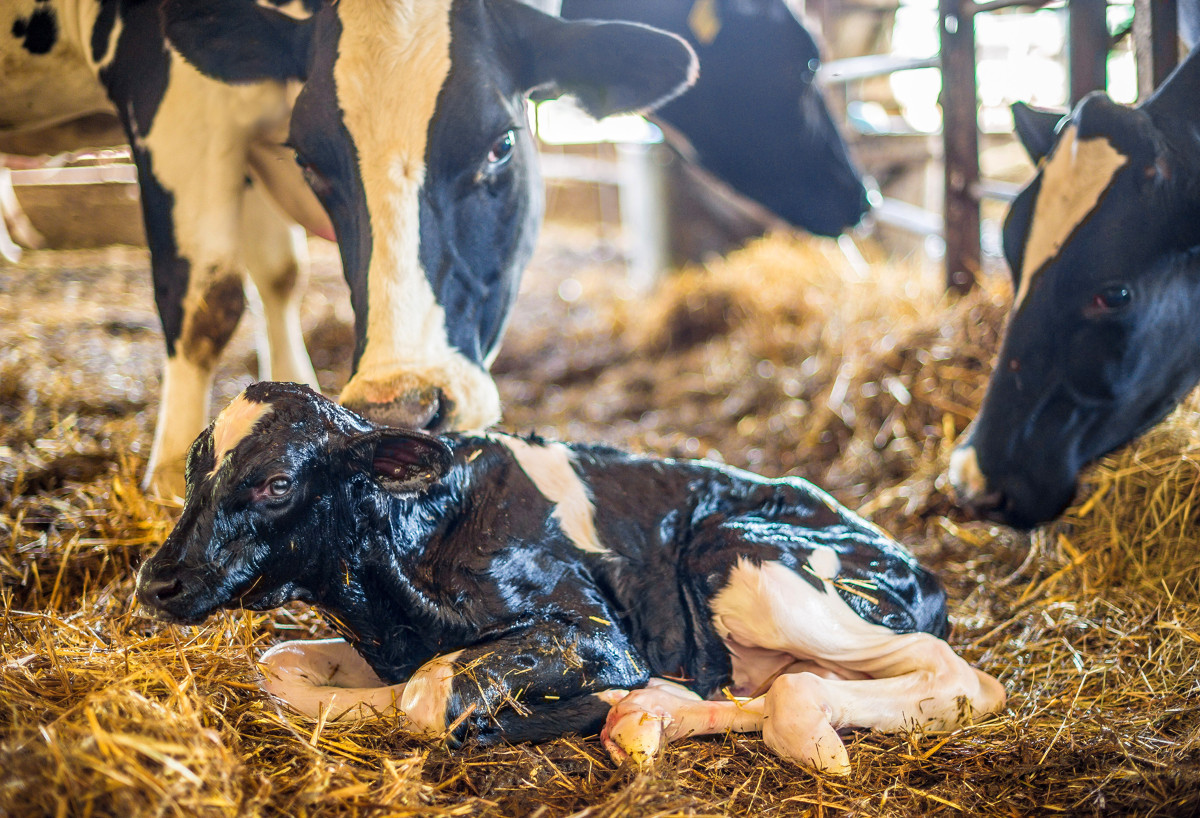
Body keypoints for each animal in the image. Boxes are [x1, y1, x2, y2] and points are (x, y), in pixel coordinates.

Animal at [0, 0, 697, 497]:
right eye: (311, 162)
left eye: (501, 144)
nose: (402, 409)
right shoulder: (174, 99)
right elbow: (207, 296)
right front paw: (173, 470)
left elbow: (279, 274)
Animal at [136, 382, 1005, 774]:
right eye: (194, 468)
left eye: (277, 483)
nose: (156, 581)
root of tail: (919, 564)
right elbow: (283, 667)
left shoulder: (596, 632)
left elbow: (428, 694)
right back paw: (648, 717)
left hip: (750, 560)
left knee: (956, 677)